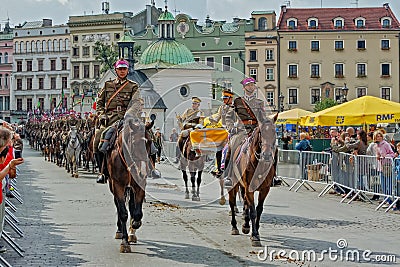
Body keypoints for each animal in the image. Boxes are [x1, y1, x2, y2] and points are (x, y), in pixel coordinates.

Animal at [228, 116, 278, 248]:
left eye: (274, 133)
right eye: (261, 133)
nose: (267, 155)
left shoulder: (265, 189)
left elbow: (258, 209)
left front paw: (255, 230)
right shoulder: (249, 189)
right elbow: (253, 212)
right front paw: (255, 236)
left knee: (245, 204)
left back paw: (245, 225)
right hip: (233, 185)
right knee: (232, 203)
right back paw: (234, 227)